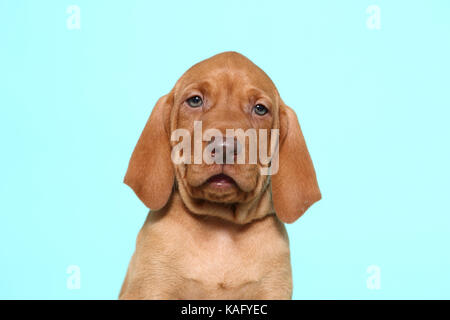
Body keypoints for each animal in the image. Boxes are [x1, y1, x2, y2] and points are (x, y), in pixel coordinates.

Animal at [118, 51, 320, 298]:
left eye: (260, 109)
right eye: (195, 101)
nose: (225, 148)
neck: (221, 225)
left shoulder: (273, 289)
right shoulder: (152, 287)